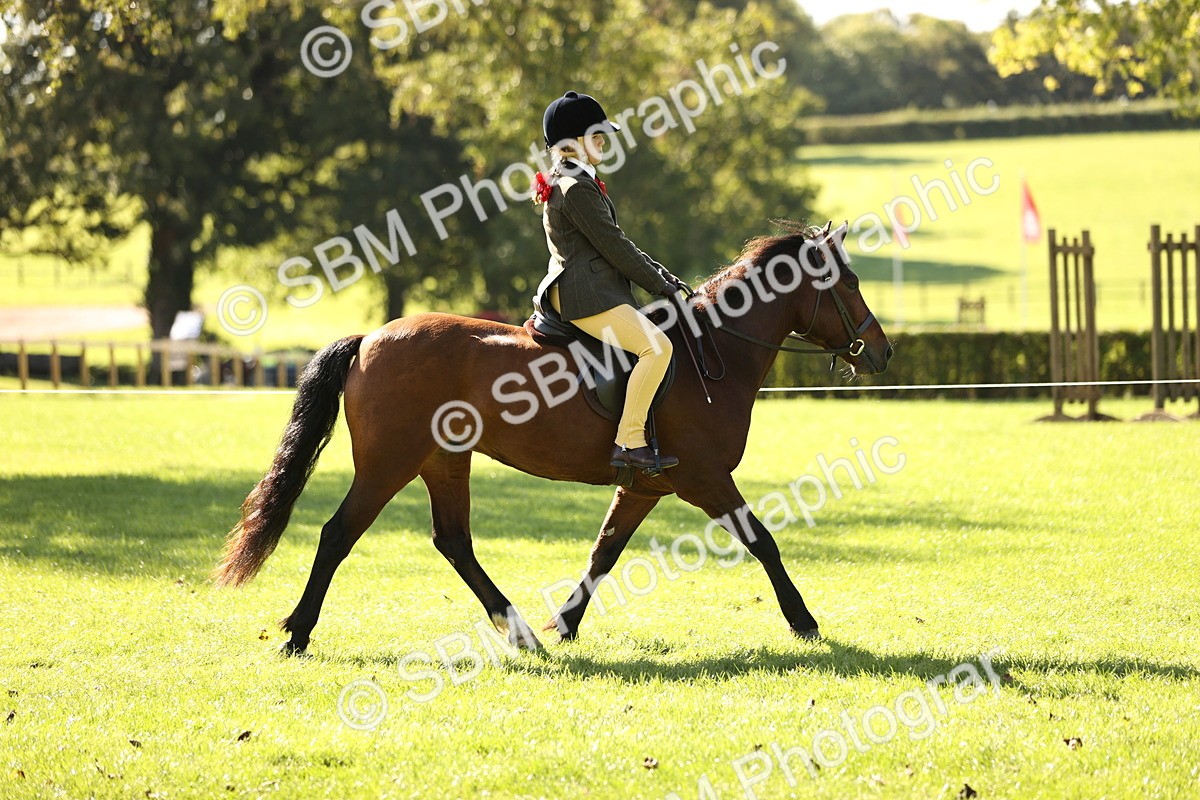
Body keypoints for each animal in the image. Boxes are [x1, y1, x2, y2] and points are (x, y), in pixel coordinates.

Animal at [212, 220, 892, 654]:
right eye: (850, 284)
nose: (883, 352)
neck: (716, 349)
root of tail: (370, 339)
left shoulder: (646, 484)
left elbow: (603, 553)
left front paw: (564, 625)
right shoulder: (704, 477)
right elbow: (763, 542)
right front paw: (804, 622)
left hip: (443, 461)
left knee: (453, 541)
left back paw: (519, 632)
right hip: (389, 463)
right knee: (338, 534)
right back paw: (298, 634)